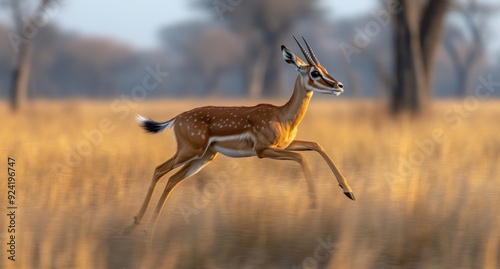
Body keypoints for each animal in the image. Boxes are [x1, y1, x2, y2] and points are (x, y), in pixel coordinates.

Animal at [127, 36, 358, 234]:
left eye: (324, 69)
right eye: (314, 73)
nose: (339, 86)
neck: (282, 114)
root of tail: (177, 118)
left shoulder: (284, 145)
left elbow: (317, 145)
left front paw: (349, 192)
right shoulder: (263, 151)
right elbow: (301, 157)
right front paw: (314, 204)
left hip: (204, 157)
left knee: (172, 180)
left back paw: (147, 228)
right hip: (189, 152)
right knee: (159, 170)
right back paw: (136, 225)